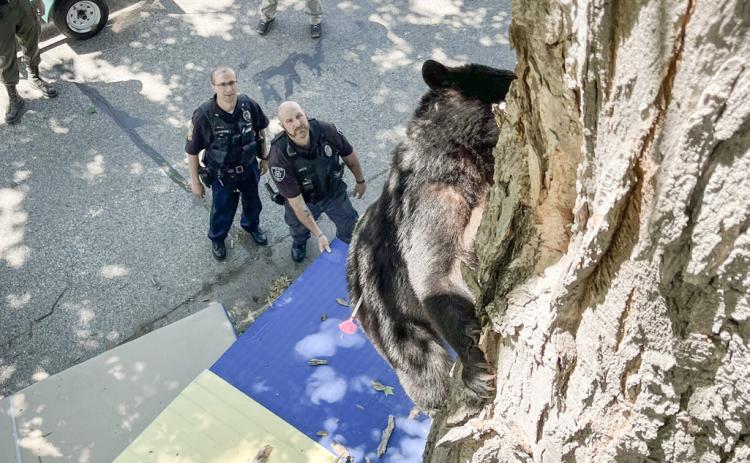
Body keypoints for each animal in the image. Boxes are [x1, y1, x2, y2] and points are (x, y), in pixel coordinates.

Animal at [346, 59, 516, 412]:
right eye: (506, 77)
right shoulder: (431, 194)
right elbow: (437, 272)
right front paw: (477, 370)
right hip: (388, 316)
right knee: (421, 366)